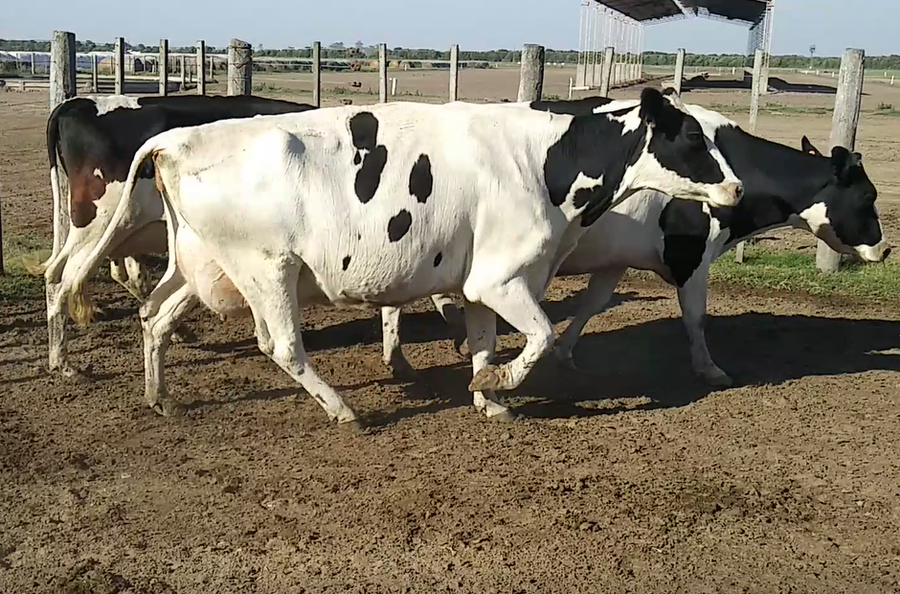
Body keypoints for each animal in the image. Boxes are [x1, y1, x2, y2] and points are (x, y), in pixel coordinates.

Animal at [58, 87, 742, 426]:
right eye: (690, 138)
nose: (737, 188)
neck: (541, 160)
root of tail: (176, 140)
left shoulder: (475, 284)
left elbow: (486, 343)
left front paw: (487, 397)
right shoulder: (503, 279)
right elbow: (543, 336)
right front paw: (500, 384)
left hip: (199, 266)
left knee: (154, 317)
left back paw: (162, 398)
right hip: (267, 269)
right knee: (281, 347)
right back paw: (343, 409)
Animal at [380, 96, 891, 388]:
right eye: (868, 196)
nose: (885, 249)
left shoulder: (615, 261)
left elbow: (591, 305)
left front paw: (567, 353)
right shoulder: (692, 258)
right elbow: (695, 318)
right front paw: (710, 369)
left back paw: (404, 355)